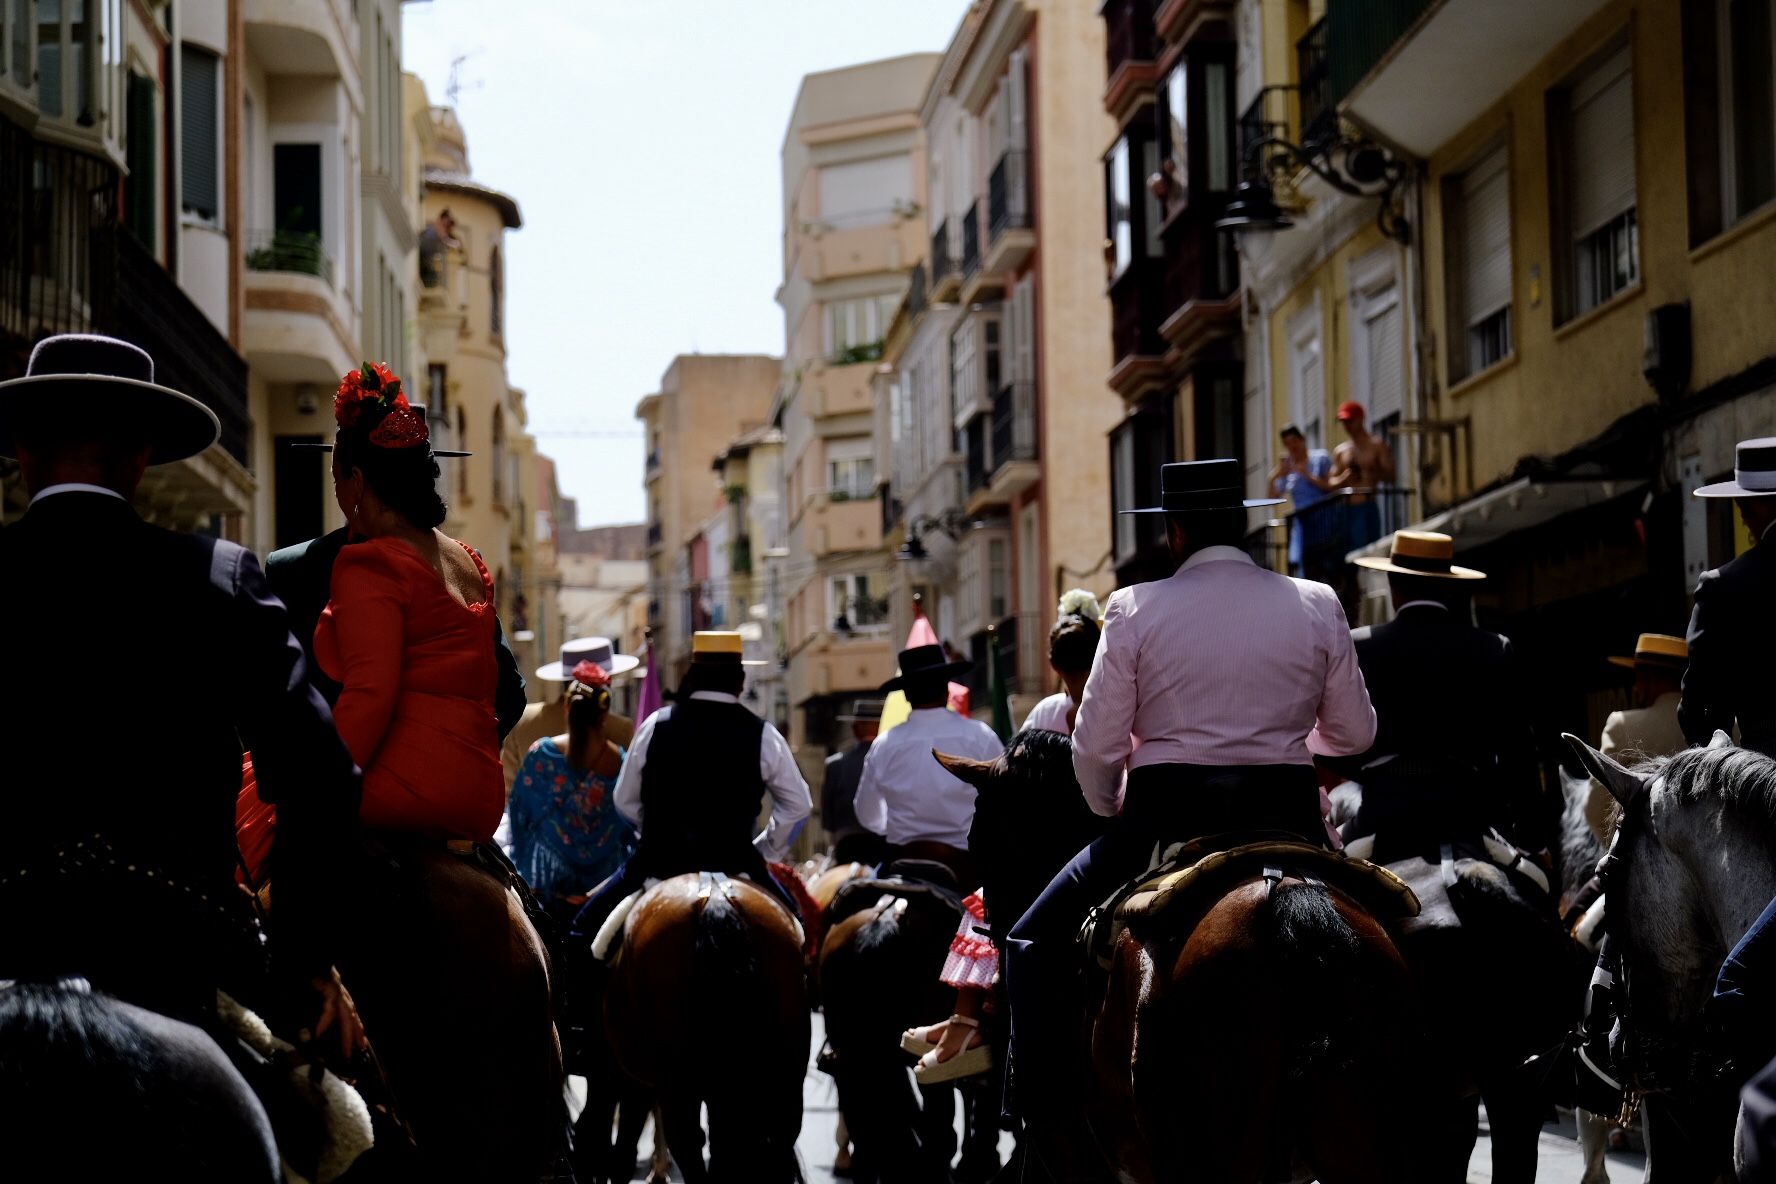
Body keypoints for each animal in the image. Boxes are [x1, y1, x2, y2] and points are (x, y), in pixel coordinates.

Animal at [607, 869, 809, 1184]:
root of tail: (714, 896)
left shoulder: (633, 1078)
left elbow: (626, 1146)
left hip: (677, 1085)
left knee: (688, 1144)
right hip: (785, 1078)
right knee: (771, 1138)